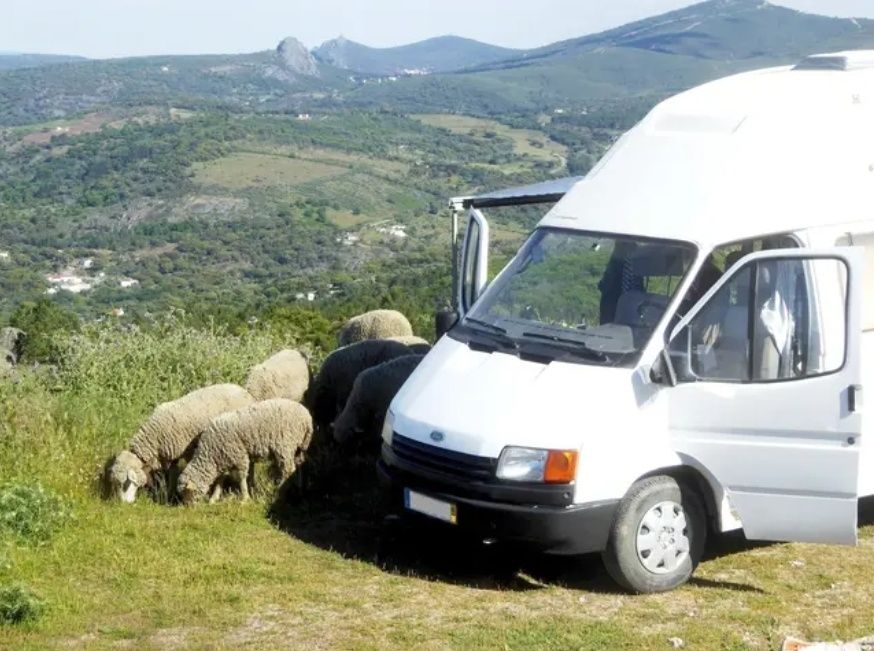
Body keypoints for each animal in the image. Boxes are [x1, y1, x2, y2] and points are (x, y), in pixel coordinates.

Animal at [107, 382, 254, 504]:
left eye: (126, 483)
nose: (123, 504)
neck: (154, 437)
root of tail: (244, 391)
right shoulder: (170, 455)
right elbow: (170, 474)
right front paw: (168, 493)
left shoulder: (185, 451)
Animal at [177, 398, 314, 504]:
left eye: (187, 493)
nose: (188, 507)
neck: (211, 454)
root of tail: (307, 417)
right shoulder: (223, 459)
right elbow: (220, 480)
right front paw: (213, 498)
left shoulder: (239, 456)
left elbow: (241, 478)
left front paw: (244, 498)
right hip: (298, 447)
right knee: (298, 465)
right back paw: (299, 488)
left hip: (285, 446)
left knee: (287, 470)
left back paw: (279, 491)